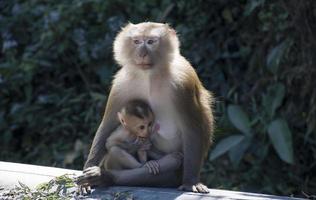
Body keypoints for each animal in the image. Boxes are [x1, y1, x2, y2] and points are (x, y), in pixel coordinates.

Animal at [78, 21, 214, 192]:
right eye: (136, 41)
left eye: (150, 42)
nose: (142, 53)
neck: (149, 75)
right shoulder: (121, 83)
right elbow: (107, 127)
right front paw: (87, 173)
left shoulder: (183, 82)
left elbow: (192, 128)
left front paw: (191, 182)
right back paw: (102, 176)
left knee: (170, 162)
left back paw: (107, 176)